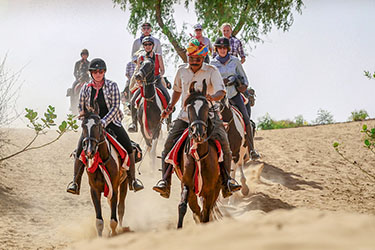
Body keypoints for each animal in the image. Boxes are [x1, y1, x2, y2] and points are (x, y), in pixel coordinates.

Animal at [81, 105, 129, 236]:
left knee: (121, 207)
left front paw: (114, 233)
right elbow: (99, 221)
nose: (89, 151)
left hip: (124, 183)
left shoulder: (114, 188)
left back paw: (122, 228)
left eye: (98, 125)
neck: (101, 161)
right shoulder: (94, 190)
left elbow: (114, 218)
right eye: (82, 125)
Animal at [177, 80, 222, 229]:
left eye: (207, 107)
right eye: (189, 108)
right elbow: (183, 206)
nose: (198, 134)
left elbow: (206, 213)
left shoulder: (211, 190)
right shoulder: (186, 184)